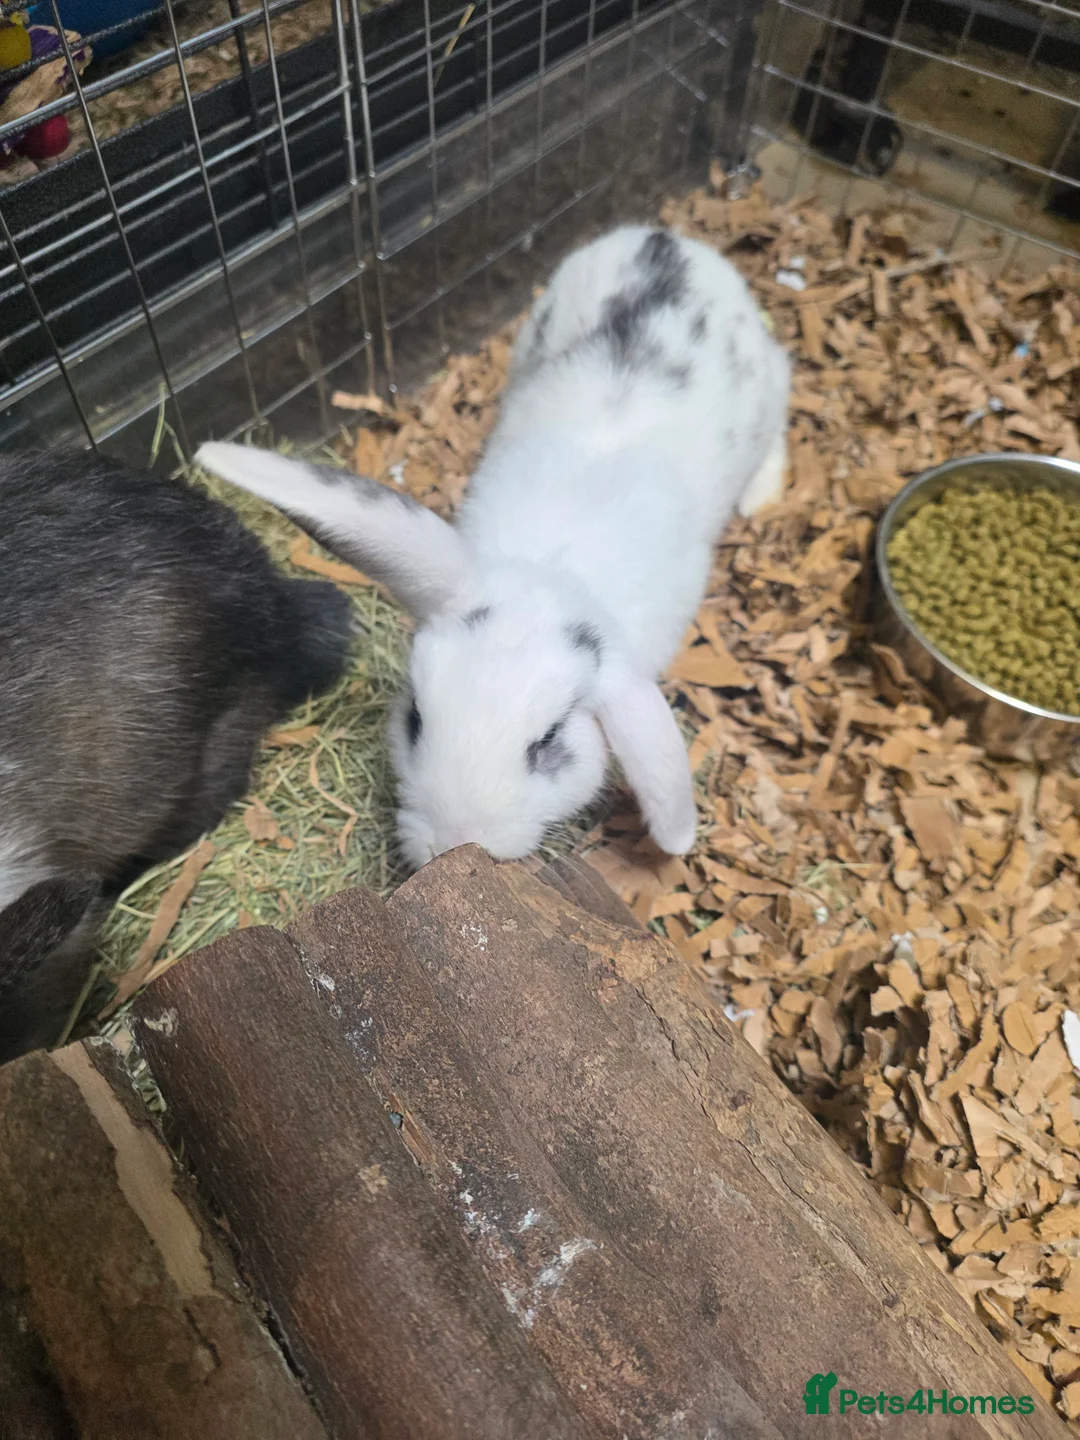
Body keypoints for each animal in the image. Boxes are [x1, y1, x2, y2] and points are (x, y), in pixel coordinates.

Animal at [196, 225, 790, 870]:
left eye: (549, 740)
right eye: (415, 718)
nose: (454, 842)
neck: (554, 569)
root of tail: (665, 238)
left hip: (768, 388)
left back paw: (760, 494)